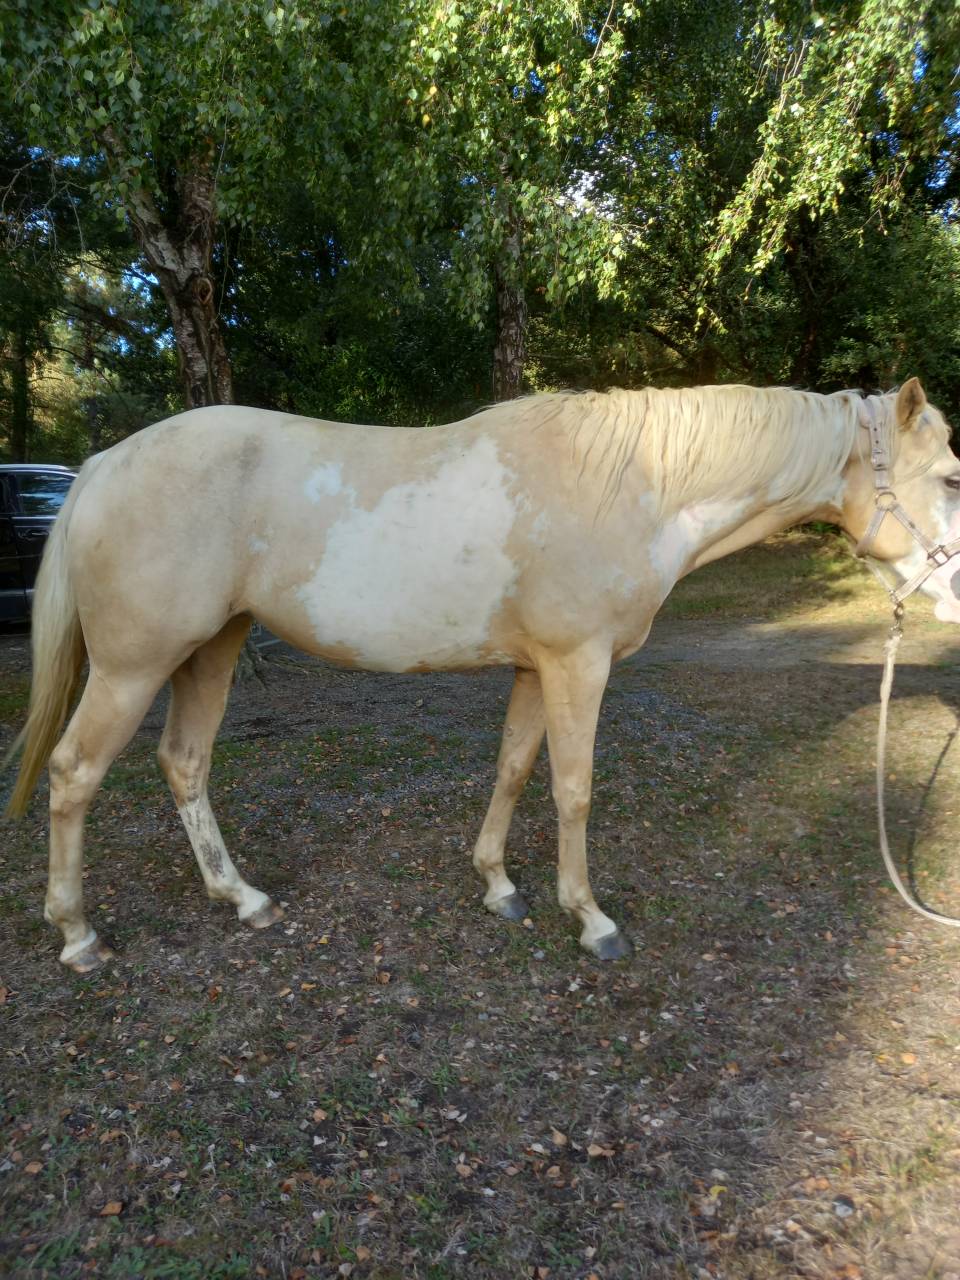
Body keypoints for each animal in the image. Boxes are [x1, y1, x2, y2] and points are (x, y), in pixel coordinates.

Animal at [4, 377, 959, 973]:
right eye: (951, 475)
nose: (952, 593)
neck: (635, 487)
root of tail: (101, 466)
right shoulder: (579, 666)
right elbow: (573, 789)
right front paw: (592, 921)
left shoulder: (539, 669)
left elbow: (513, 767)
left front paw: (499, 886)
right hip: (133, 667)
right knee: (74, 774)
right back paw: (78, 934)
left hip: (212, 650)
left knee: (185, 764)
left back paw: (241, 898)